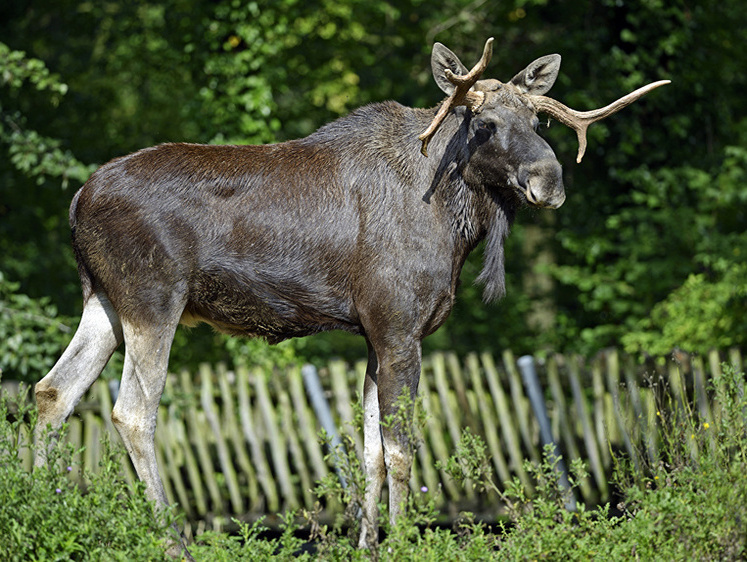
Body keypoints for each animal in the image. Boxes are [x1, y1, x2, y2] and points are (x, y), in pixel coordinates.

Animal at [32, 37, 668, 552]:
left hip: (103, 302)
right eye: (482, 123)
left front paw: (370, 544)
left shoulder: (373, 332)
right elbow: (402, 449)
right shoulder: (399, 326)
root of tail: (76, 203)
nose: (548, 180)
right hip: (153, 298)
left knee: (51, 393)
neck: (455, 223)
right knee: (132, 411)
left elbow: (369, 451)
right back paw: (171, 541)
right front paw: (406, 540)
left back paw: (42, 513)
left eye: (540, 121)